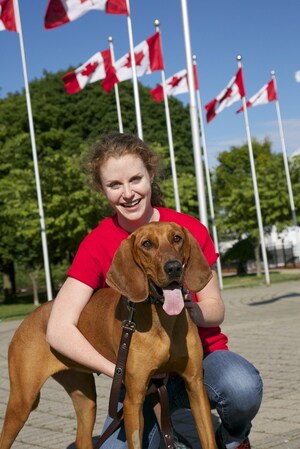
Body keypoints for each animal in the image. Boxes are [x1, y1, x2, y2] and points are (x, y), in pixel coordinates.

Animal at [0, 221, 217, 448]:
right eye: (146, 244)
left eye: (177, 238)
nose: (173, 267)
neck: (163, 320)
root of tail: (27, 320)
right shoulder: (134, 399)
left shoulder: (195, 385)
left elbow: (209, 439)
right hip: (22, 401)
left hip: (85, 398)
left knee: (83, 438)